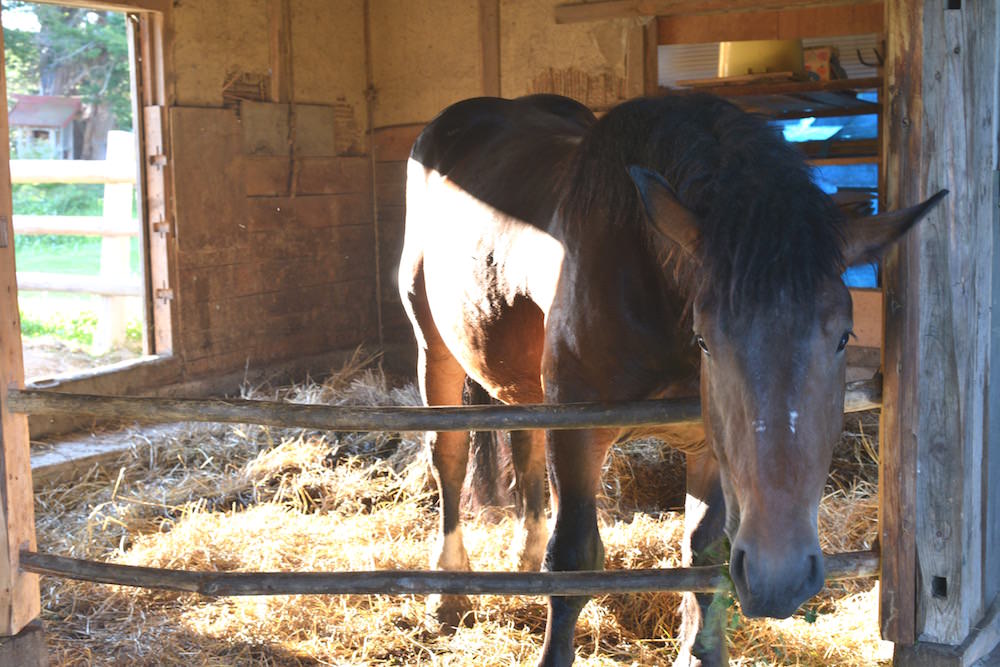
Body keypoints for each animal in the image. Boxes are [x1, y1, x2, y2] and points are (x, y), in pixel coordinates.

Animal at [398, 92, 945, 666]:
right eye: (705, 339)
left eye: (843, 337)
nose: (780, 578)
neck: (645, 274)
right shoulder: (576, 433)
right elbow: (573, 560)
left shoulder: (711, 444)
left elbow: (704, 553)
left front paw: (702, 651)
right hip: (434, 350)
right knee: (450, 459)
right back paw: (448, 594)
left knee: (522, 453)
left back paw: (521, 562)